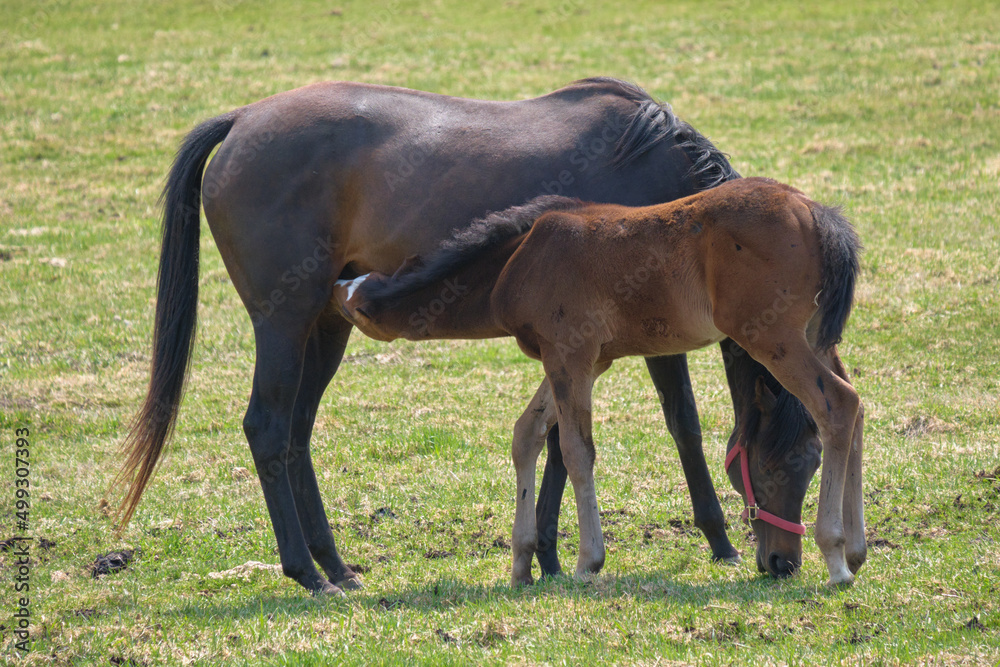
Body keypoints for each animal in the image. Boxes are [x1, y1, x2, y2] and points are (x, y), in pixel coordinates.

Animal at [338, 177, 865, 586]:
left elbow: (575, 450)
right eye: (772, 467)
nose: (782, 564)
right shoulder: (583, 361)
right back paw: (857, 551)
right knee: (856, 408)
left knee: (837, 404)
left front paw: (587, 561)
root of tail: (815, 212)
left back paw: (836, 556)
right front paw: (521, 563)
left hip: (770, 335)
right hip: (815, 336)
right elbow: (527, 434)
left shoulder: (569, 354)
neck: (521, 255)